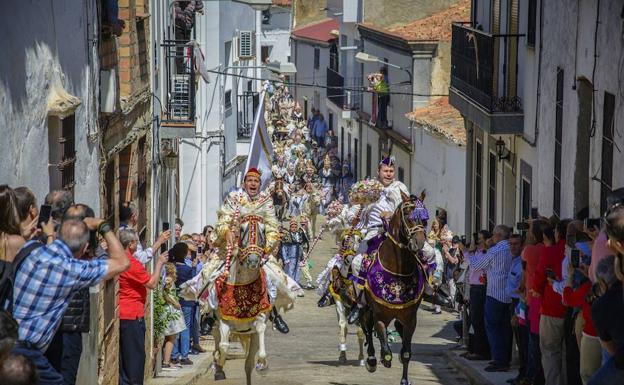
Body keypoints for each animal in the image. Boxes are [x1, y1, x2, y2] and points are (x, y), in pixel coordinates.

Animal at [360, 192, 428, 384]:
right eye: (408, 216)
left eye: (425, 219)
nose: (419, 243)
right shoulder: (379, 316)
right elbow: (386, 350)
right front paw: (382, 359)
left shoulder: (410, 318)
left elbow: (405, 353)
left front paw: (405, 380)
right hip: (366, 308)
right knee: (366, 326)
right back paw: (372, 359)